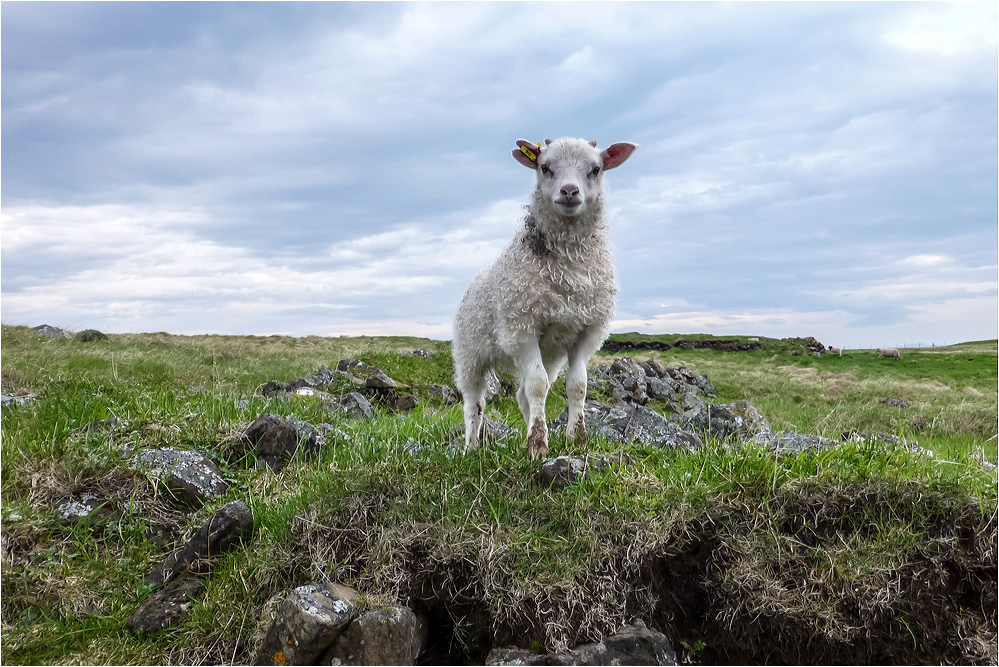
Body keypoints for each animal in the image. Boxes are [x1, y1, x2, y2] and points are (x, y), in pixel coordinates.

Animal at [450, 136, 636, 460]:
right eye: (545, 167)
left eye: (596, 169)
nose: (570, 191)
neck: (571, 264)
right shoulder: (522, 329)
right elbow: (537, 387)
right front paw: (538, 445)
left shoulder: (586, 331)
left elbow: (577, 386)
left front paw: (576, 439)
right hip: (469, 356)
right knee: (475, 402)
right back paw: (472, 446)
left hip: (549, 353)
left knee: (523, 395)